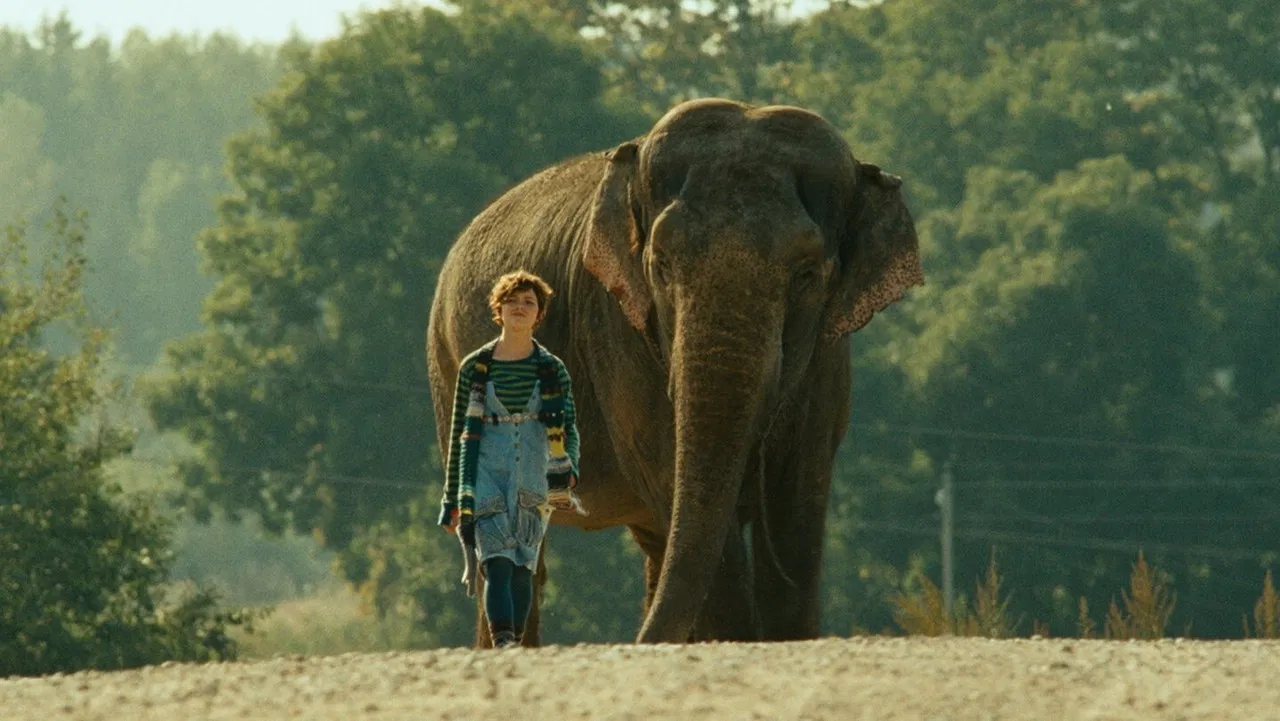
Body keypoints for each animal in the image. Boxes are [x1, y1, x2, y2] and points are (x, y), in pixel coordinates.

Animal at [426, 97, 923, 645]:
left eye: (808, 274)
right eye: (661, 264)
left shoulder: (828, 357)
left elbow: (798, 496)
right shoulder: (616, 330)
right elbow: (672, 474)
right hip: (447, 366)